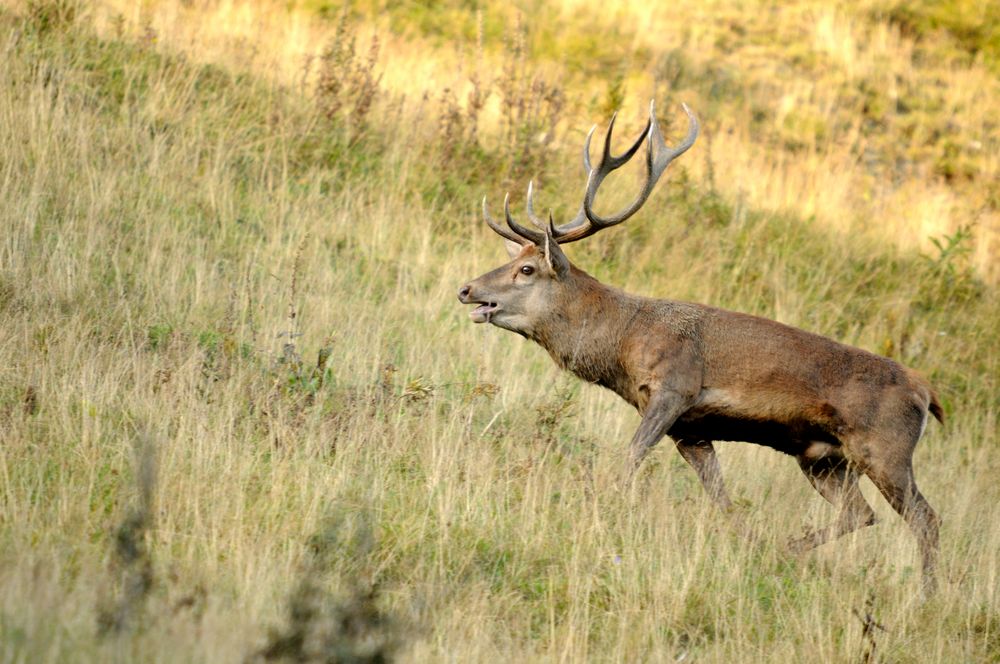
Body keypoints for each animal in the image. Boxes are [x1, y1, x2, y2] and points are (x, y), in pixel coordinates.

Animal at [458, 101, 940, 592]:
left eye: (527, 269)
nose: (467, 289)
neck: (624, 342)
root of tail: (926, 394)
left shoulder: (675, 389)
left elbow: (629, 460)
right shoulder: (691, 430)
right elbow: (720, 497)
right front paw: (744, 541)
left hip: (885, 449)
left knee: (926, 518)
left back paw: (926, 594)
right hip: (822, 459)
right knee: (861, 514)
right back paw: (786, 548)